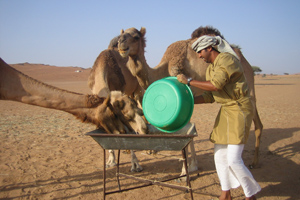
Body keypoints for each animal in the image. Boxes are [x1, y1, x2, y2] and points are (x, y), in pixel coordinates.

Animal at [0, 57, 148, 172]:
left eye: (120, 116)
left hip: (137, 89)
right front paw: (111, 160)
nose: (123, 131)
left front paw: (135, 165)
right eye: (116, 115)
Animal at [117, 26, 262, 169]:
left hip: (249, 88)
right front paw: (191, 164)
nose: (120, 42)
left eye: (136, 37)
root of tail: (245, 61)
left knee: (257, 123)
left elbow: (187, 129)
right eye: (122, 34)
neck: (164, 68)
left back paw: (253, 162)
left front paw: (189, 166)